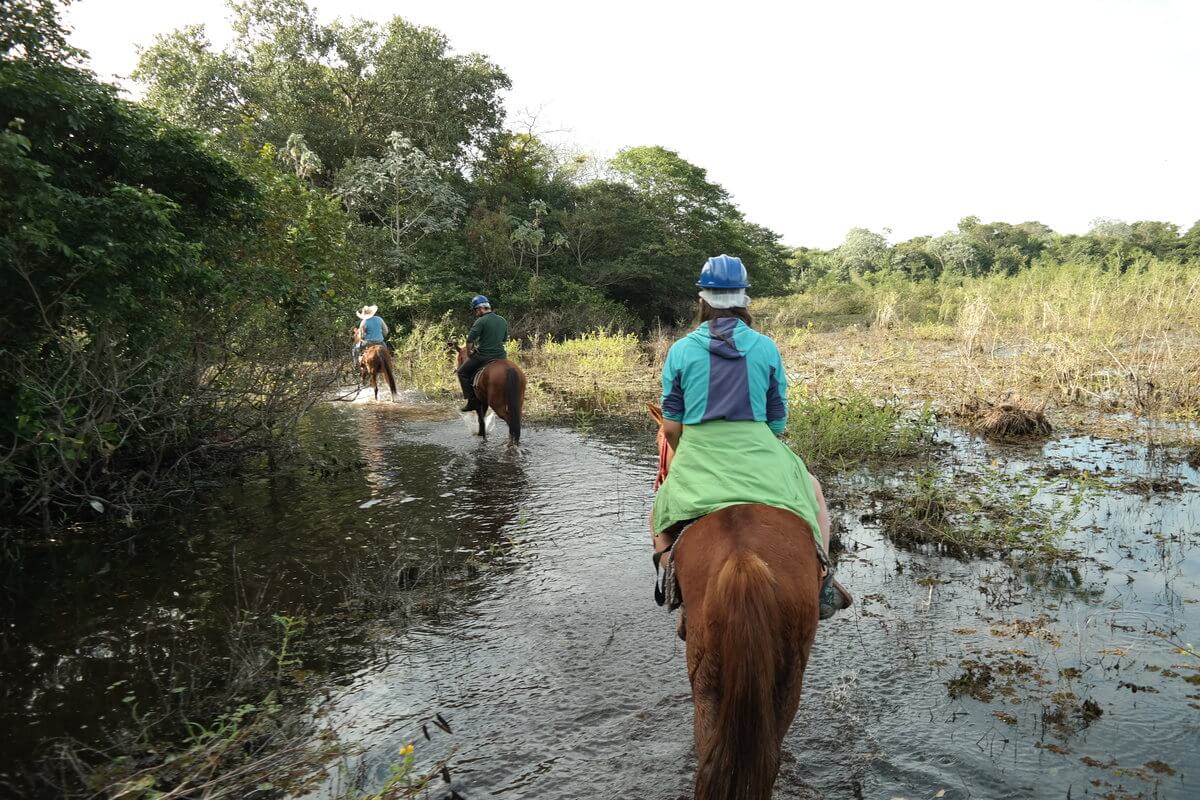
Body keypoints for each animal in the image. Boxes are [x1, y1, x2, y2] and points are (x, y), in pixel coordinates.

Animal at [648, 407, 825, 800]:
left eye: (659, 442)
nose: (657, 481)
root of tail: (744, 561)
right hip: (787, 676)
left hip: (706, 678)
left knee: (708, 750)